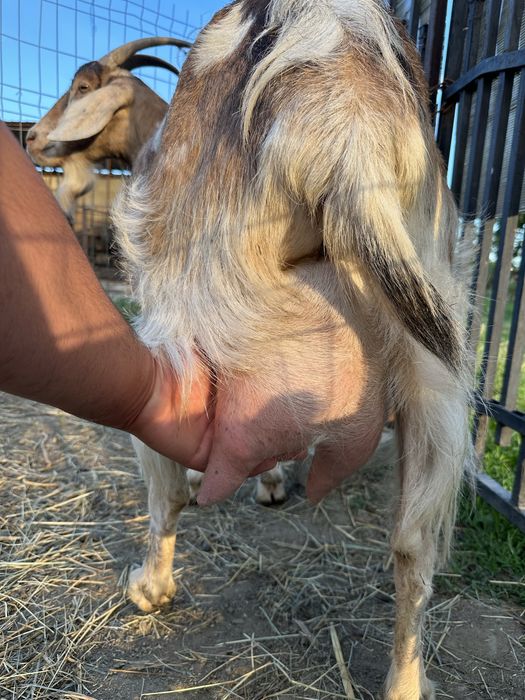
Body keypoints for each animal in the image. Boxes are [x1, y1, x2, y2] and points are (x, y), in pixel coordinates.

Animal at [112, 1, 474, 698]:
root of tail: (345, 112)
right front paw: (274, 486)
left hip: (185, 314)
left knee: (164, 480)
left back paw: (151, 585)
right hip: (433, 364)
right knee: (413, 545)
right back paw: (404, 682)